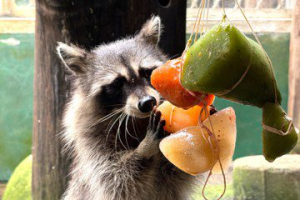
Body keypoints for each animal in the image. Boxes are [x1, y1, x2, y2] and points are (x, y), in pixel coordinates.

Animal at [57, 16, 200, 199]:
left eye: (146, 73)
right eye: (117, 83)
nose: (148, 102)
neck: (139, 121)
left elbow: (178, 172)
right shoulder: (92, 142)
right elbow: (116, 178)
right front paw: (144, 149)